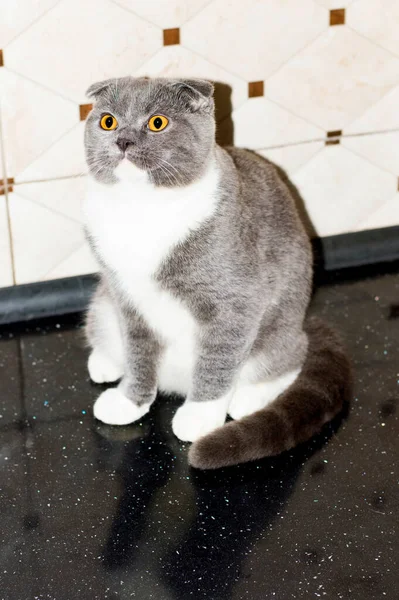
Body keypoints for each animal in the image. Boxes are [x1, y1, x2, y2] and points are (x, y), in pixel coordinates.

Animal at [83, 76, 352, 468]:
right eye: (108, 121)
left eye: (157, 122)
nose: (122, 141)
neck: (141, 209)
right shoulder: (127, 298)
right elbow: (138, 354)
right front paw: (130, 401)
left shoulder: (234, 302)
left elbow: (217, 361)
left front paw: (199, 417)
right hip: (104, 303)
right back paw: (104, 361)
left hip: (279, 326)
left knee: (291, 354)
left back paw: (248, 400)